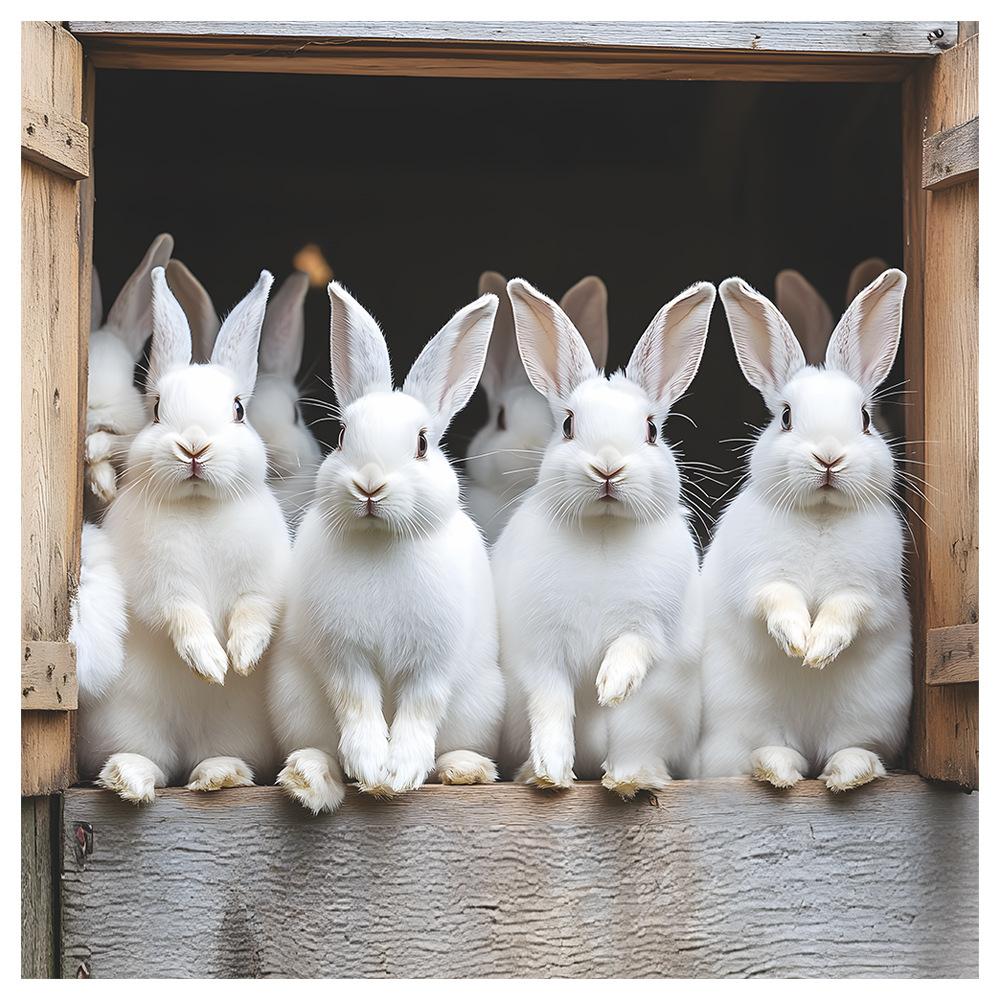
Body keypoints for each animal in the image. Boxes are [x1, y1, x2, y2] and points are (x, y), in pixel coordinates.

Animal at [79, 266, 290, 804]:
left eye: (238, 410)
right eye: (156, 409)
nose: (194, 447)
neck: (199, 508)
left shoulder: (262, 579)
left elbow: (255, 608)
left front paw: (241, 657)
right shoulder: (160, 584)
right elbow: (181, 614)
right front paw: (210, 663)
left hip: (235, 729)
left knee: (212, 759)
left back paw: (219, 774)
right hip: (128, 721)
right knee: (154, 764)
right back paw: (128, 776)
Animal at [267, 281, 504, 814]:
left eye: (422, 444)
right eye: (340, 436)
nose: (369, 485)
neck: (382, 542)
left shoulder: (433, 660)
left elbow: (420, 707)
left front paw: (401, 773)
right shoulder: (344, 655)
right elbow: (357, 702)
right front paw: (372, 767)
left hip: (481, 701)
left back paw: (465, 769)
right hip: (294, 700)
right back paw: (308, 778)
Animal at [491, 278, 715, 797]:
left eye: (652, 429)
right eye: (568, 425)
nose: (608, 467)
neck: (603, 530)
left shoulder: (651, 622)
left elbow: (634, 647)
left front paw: (610, 685)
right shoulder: (541, 649)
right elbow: (551, 703)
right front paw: (551, 772)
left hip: (655, 714)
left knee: (636, 744)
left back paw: (631, 779)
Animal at [697, 269, 912, 792]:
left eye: (866, 418)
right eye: (787, 417)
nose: (829, 457)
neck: (821, 515)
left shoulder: (868, 590)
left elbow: (846, 610)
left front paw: (818, 650)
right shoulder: (757, 579)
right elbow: (777, 599)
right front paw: (798, 642)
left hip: (871, 716)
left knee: (851, 750)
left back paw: (847, 774)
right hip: (741, 721)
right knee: (764, 754)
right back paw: (776, 769)